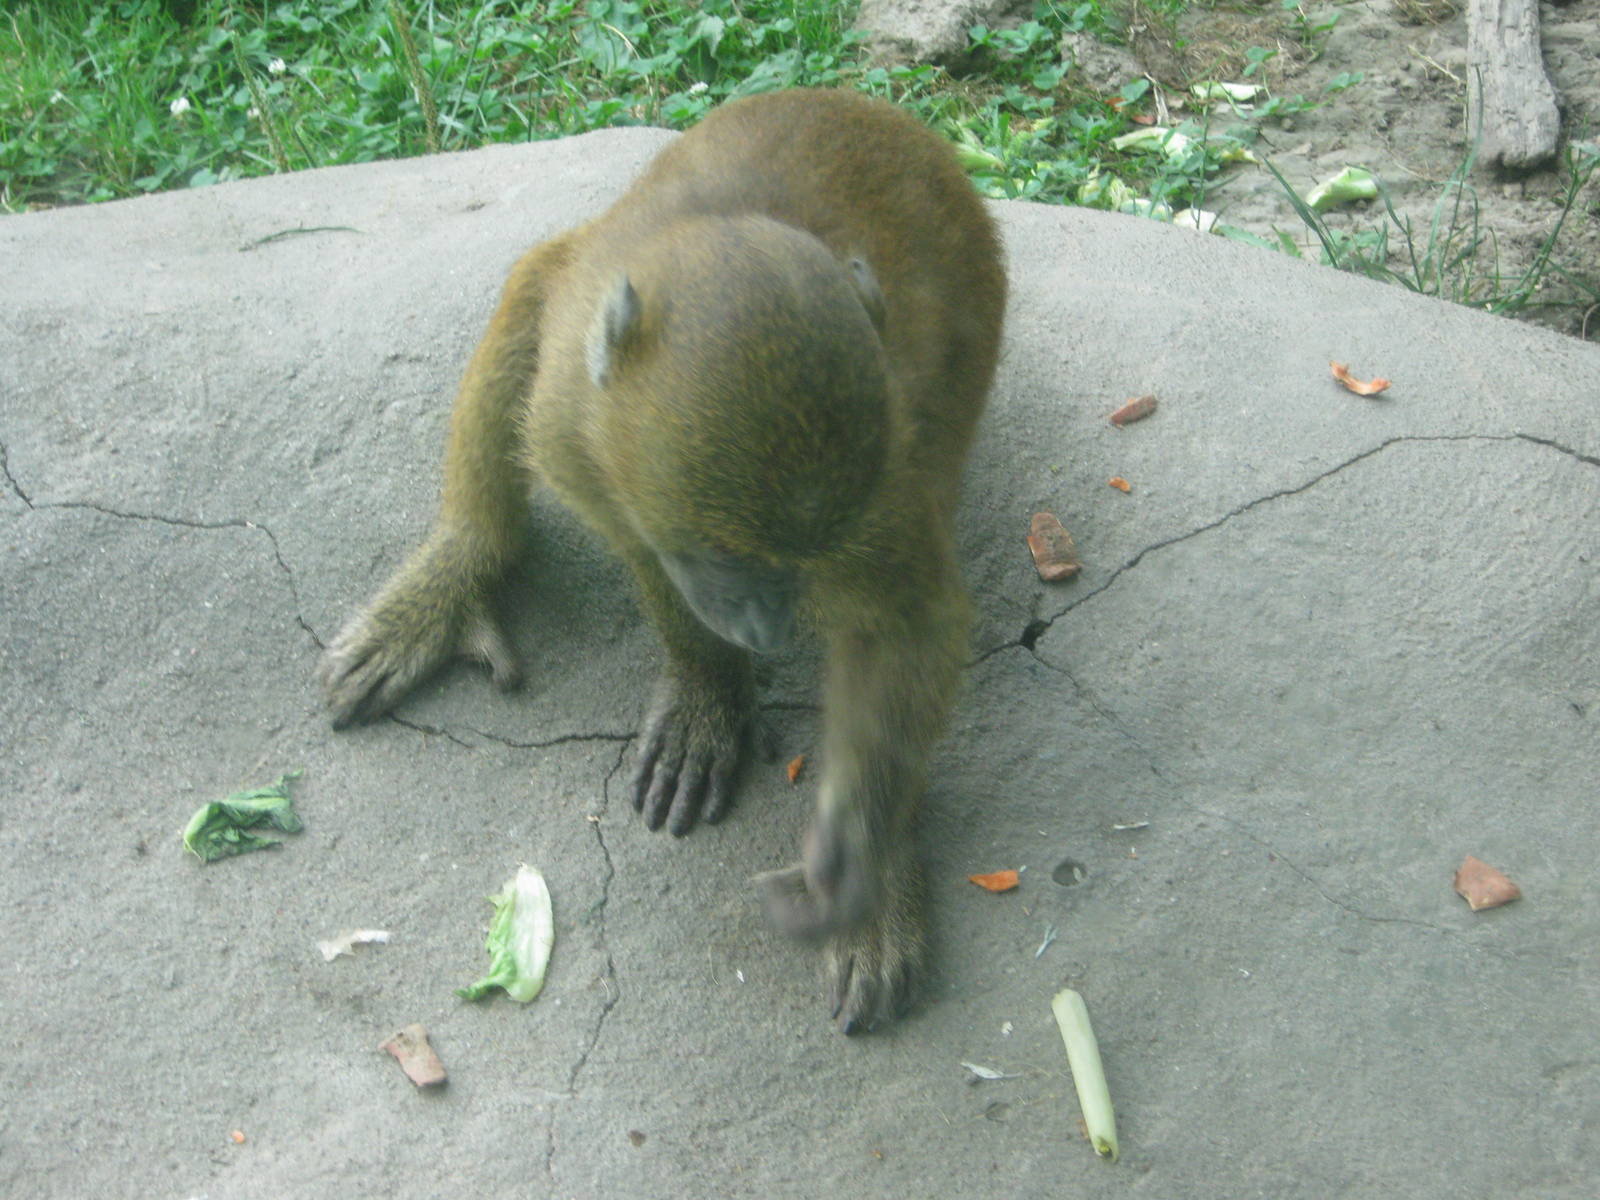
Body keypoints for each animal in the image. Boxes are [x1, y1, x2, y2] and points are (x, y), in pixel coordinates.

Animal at [319, 88, 1006, 1033]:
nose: (766, 626)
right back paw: (462, 563)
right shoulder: (575, 425)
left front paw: (867, 857)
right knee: (533, 284)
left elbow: (904, 624)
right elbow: (637, 541)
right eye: (724, 556)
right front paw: (707, 690)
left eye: (795, 561)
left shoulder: (882, 480)